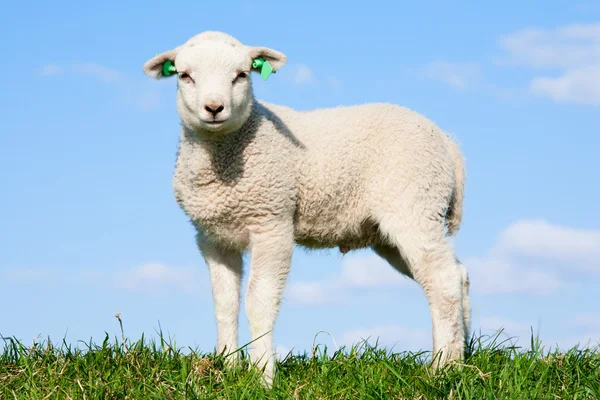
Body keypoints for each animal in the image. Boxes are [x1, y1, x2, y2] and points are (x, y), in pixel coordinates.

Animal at [143, 31, 472, 388]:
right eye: (184, 76)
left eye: (242, 75)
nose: (214, 108)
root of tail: (447, 142)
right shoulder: (211, 237)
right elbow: (225, 303)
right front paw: (226, 369)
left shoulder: (272, 222)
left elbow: (258, 301)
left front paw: (263, 376)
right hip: (394, 231)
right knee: (456, 273)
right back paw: (465, 355)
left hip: (414, 205)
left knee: (442, 280)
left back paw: (443, 368)